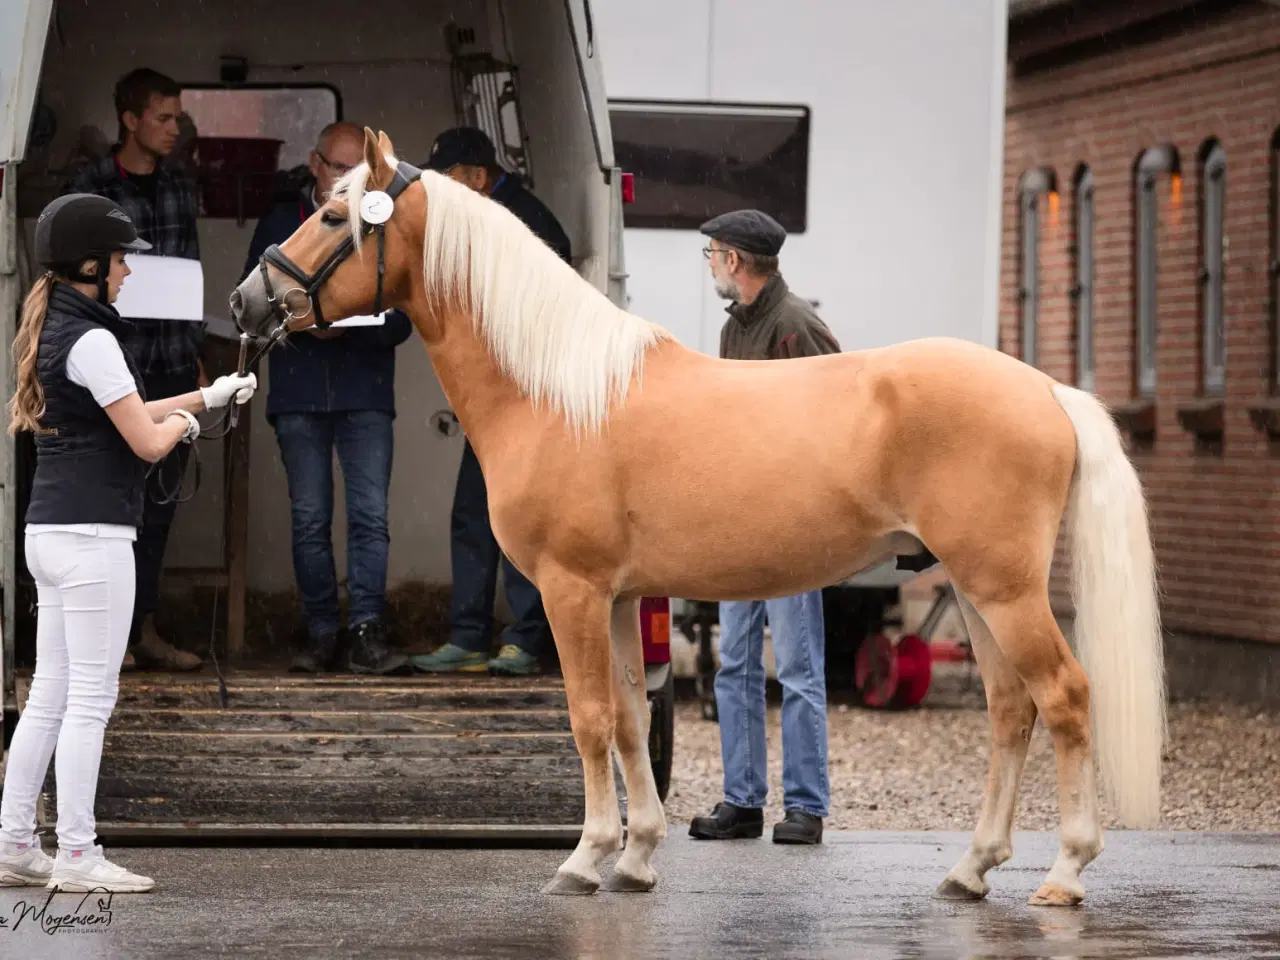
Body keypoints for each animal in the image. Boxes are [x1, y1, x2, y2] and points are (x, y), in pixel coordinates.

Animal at [225, 129, 1167, 911]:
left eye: (333, 214)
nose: (246, 303)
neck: (556, 390)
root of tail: (1045, 389)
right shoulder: (613, 598)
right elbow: (629, 720)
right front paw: (638, 856)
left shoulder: (570, 592)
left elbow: (588, 719)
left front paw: (585, 859)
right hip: (976, 591)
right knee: (1011, 712)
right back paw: (970, 870)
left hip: (1004, 590)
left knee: (1066, 697)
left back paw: (1064, 872)